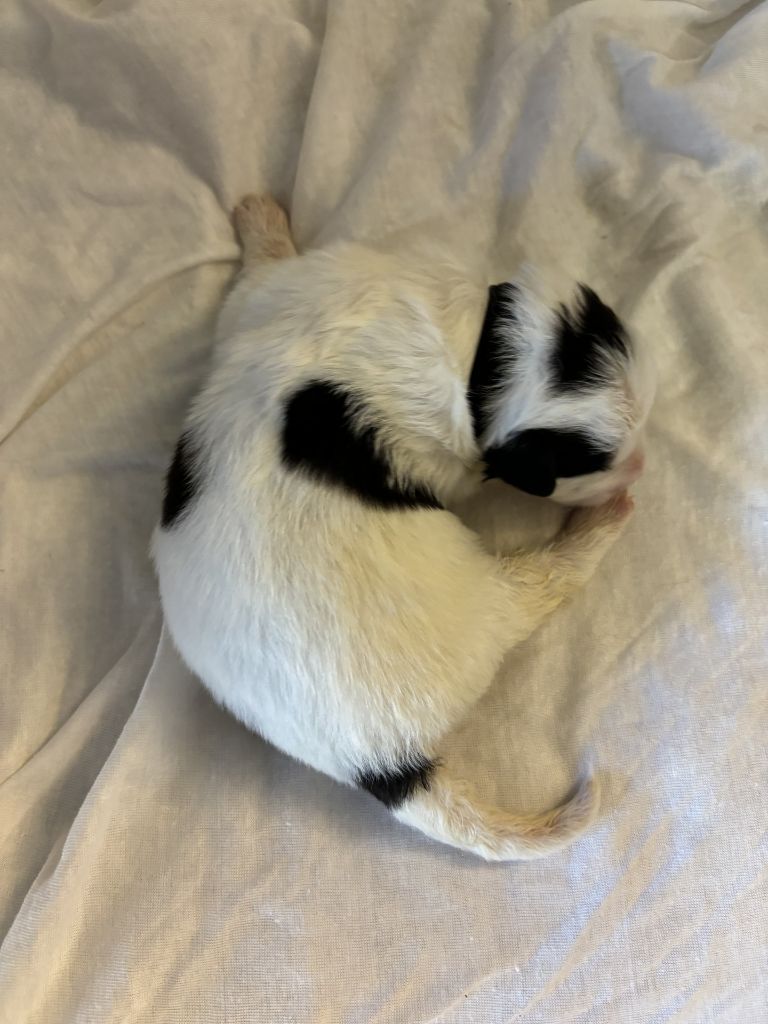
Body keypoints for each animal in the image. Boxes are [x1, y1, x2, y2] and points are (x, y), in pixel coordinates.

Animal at [152, 196, 654, 861]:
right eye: (592, 463)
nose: (641, 465)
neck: (484, 354)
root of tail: (380, 762)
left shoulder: (279, 290)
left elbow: (260, 272)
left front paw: (259, 220)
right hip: (477, 600)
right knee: (542, 585)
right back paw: (600, 524)